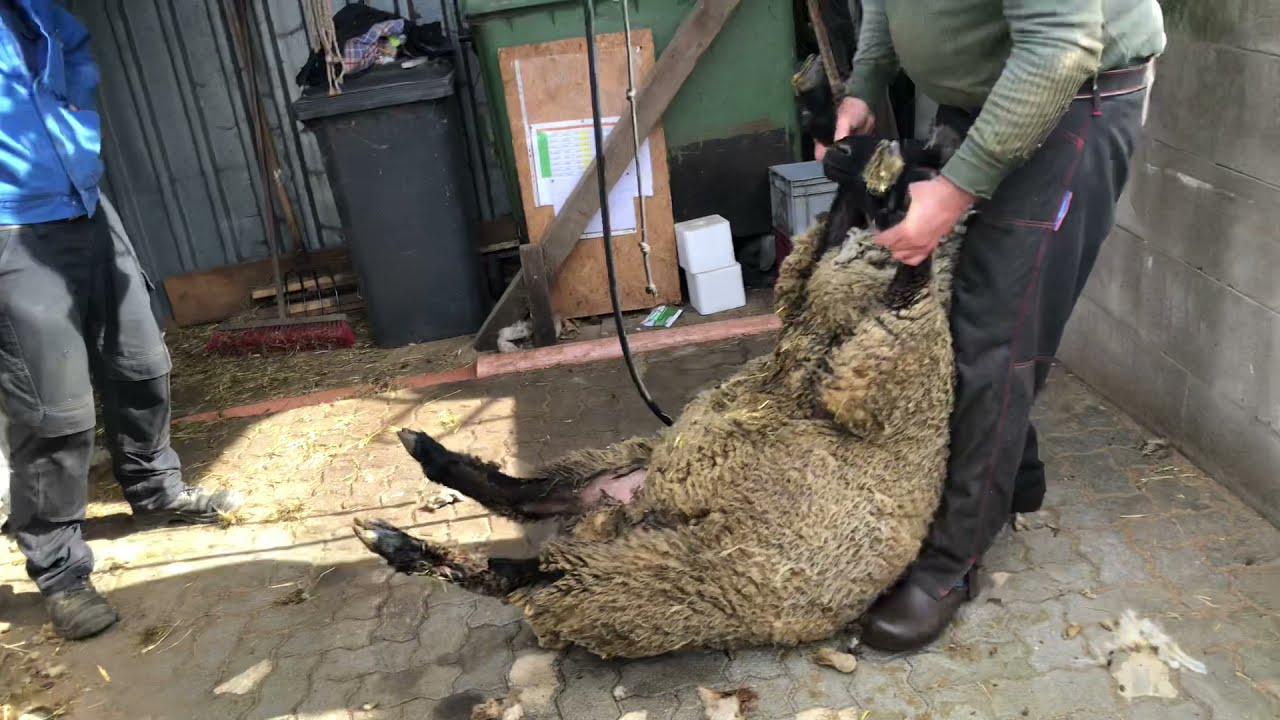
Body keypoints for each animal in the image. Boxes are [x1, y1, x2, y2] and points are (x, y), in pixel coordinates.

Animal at [354, 131, 969, 660]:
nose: (837, 148)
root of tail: (625, 514)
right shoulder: (805, 302)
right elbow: (826, 241)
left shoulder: (889, 373)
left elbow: (907, 276)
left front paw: (895, 202)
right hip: (619, 472)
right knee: (525, 495)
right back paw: (421, 464)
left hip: (640, 583)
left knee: (521, 570)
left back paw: (399, 542)